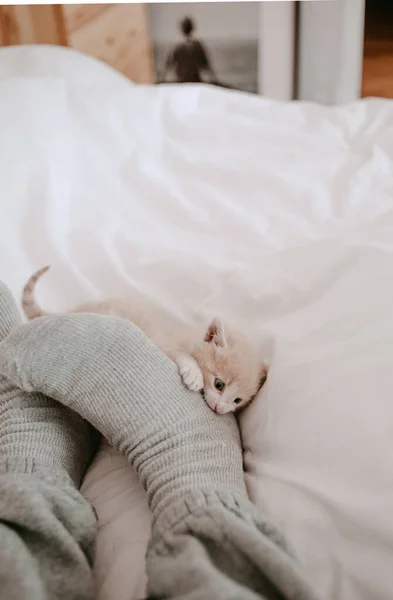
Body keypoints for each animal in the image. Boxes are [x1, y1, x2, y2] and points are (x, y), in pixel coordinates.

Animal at [21, 266, 266, 412]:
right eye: (219, 384)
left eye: (238, 400)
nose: (220, 410)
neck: (189, 333)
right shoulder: (163, 342)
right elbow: (182, 355)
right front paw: (194, 375)